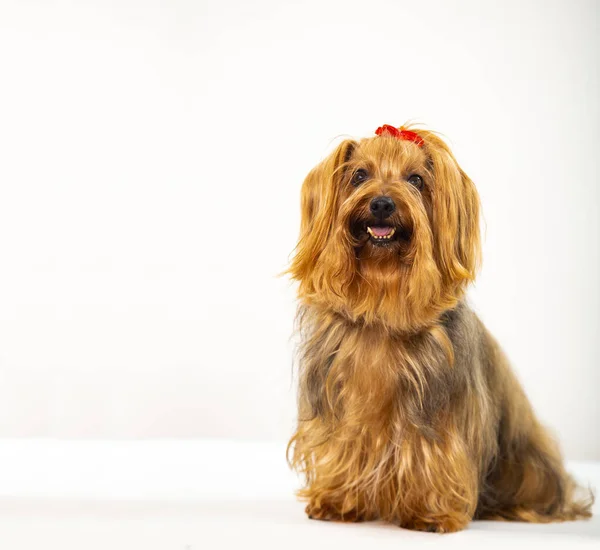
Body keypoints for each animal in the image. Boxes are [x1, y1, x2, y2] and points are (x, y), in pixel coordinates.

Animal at [288, 125, 596, 536]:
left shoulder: (439, 414)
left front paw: (429, 513)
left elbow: (432, 452)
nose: (382, 204)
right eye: (360, 175)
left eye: (416, 179)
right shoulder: (340, 408)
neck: (383, 299)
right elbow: (346, 444)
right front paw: (339, 500)